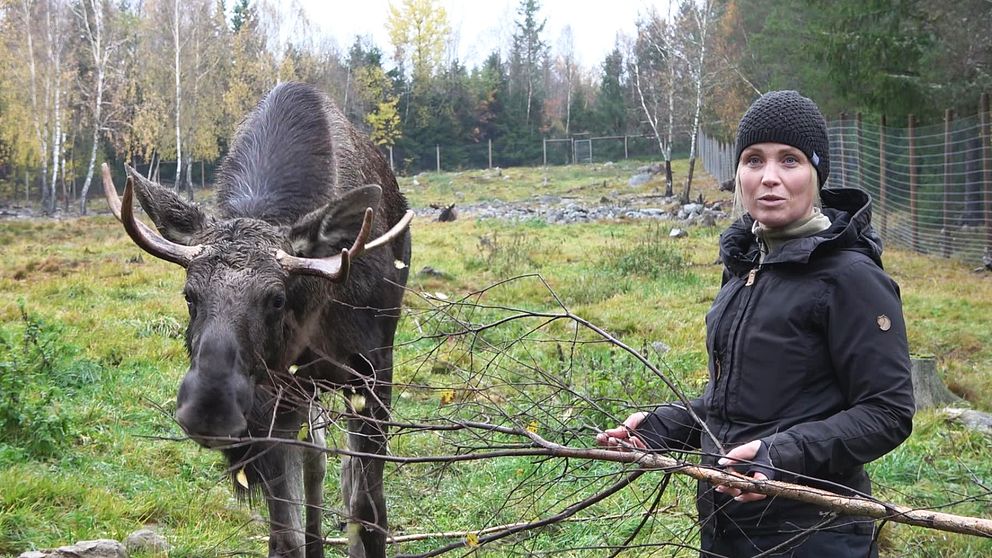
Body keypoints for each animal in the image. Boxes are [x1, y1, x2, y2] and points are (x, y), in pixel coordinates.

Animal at [106, 81, 416, 556]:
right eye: (189, 295)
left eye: (276, 299)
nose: (210, 409)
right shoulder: (274, 399)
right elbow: (284, 534)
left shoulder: (374, 369)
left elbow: (368, 511)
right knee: (315, 459)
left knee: (342, 476)